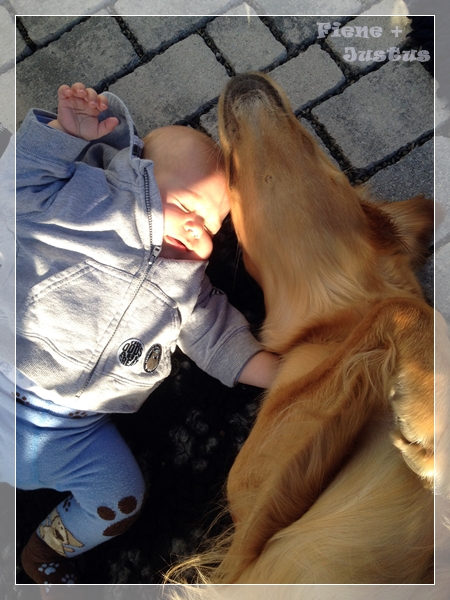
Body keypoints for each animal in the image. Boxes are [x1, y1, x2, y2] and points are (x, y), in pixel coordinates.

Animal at [167, 72, 436, 586]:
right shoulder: (252, 501)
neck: (331, 327)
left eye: (314, 147)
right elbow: (405, 310)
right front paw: (427, 414)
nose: (246, 75)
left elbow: (402, 310)